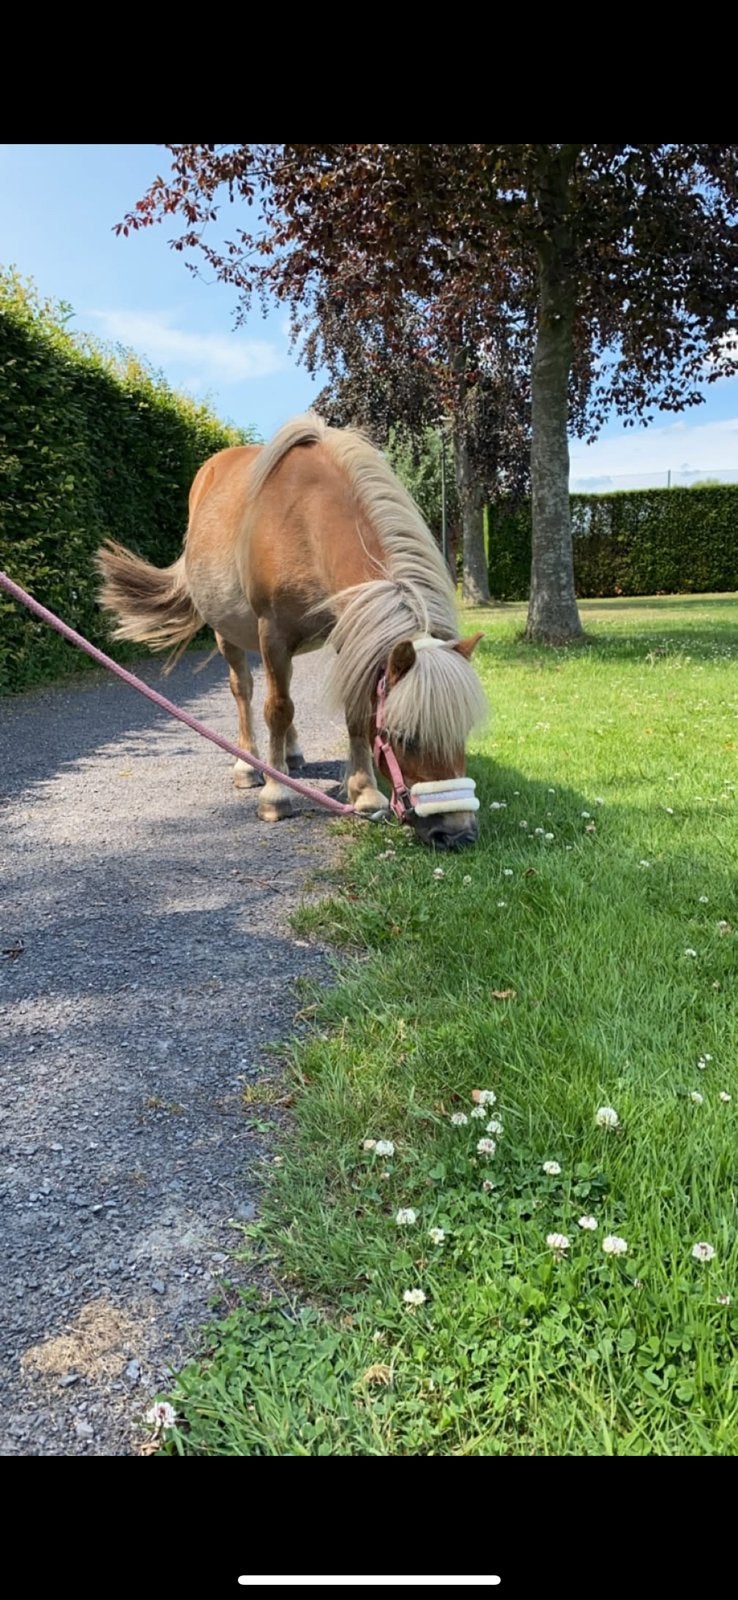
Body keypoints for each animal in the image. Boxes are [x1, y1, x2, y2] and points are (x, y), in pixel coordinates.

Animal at [95, 413, 487, 850]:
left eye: (464, 731)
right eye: (403, 736)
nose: (457, 834)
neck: (306, 518)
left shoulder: (348, 637)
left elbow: (352, 712)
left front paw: (365, 793)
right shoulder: (273, 635)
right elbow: (277, 710)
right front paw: (275, 795)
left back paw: (290, 756)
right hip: (229, 636)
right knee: (247, 692)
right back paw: (251, 765)